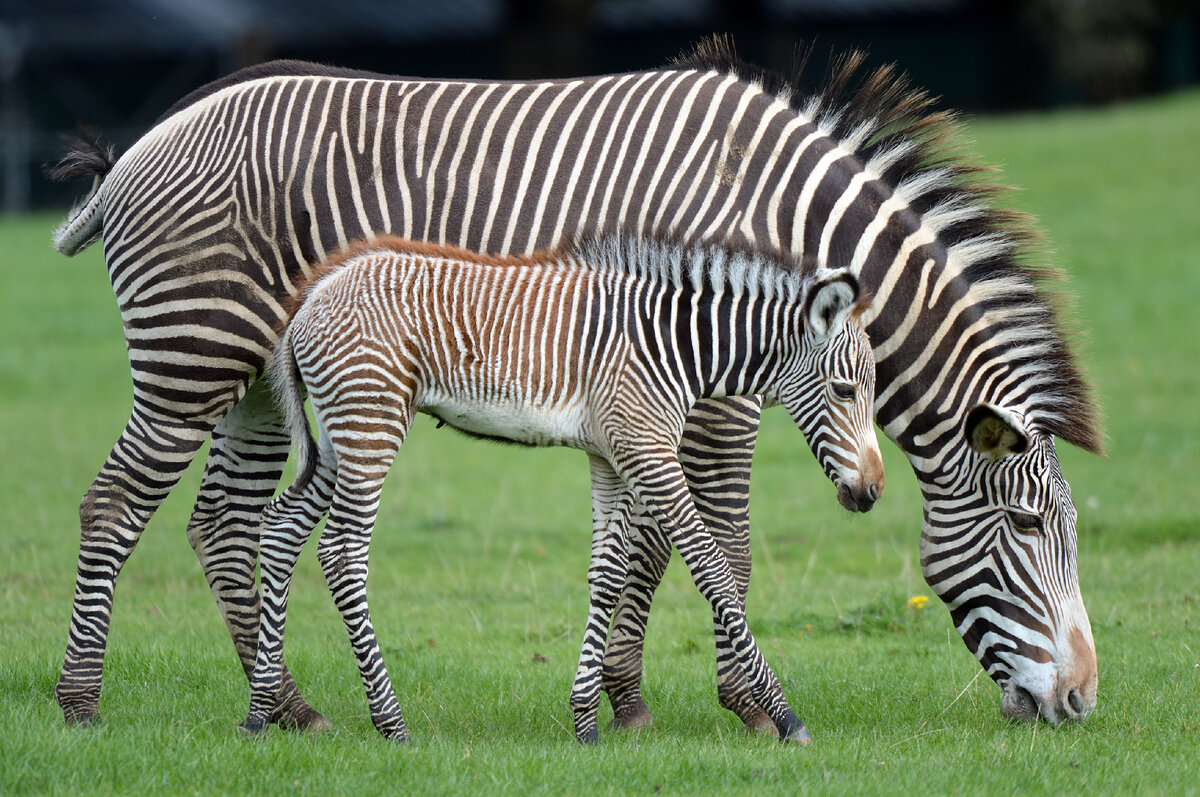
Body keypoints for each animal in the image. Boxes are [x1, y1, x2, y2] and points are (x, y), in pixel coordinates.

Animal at [243, 234, 883, 744]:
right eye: (845, 390)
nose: (873, 492)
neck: (673, 346)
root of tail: (311, 295)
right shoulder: (648, 451)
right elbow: (712, 569)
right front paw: (786, 717)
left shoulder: (611, 455)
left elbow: (608, 575)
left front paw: (585, 721)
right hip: (369, 424)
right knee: (341, 554)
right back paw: (391, 722)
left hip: (336, 439)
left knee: (279, 530)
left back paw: (259, 713)